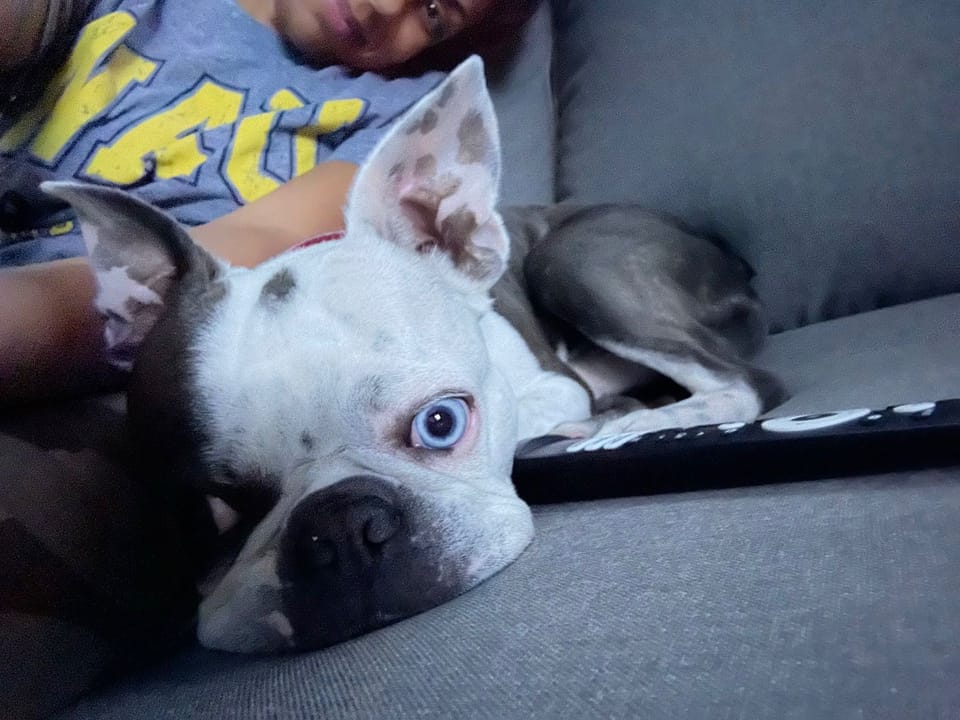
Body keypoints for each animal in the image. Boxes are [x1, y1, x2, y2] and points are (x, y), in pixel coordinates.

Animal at [42, 57, 783, 653]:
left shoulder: (555, 383)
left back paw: (641, 419)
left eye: (441, 424)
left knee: (745, 383)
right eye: (215, 509)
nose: (340, 529)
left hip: (570, 261)